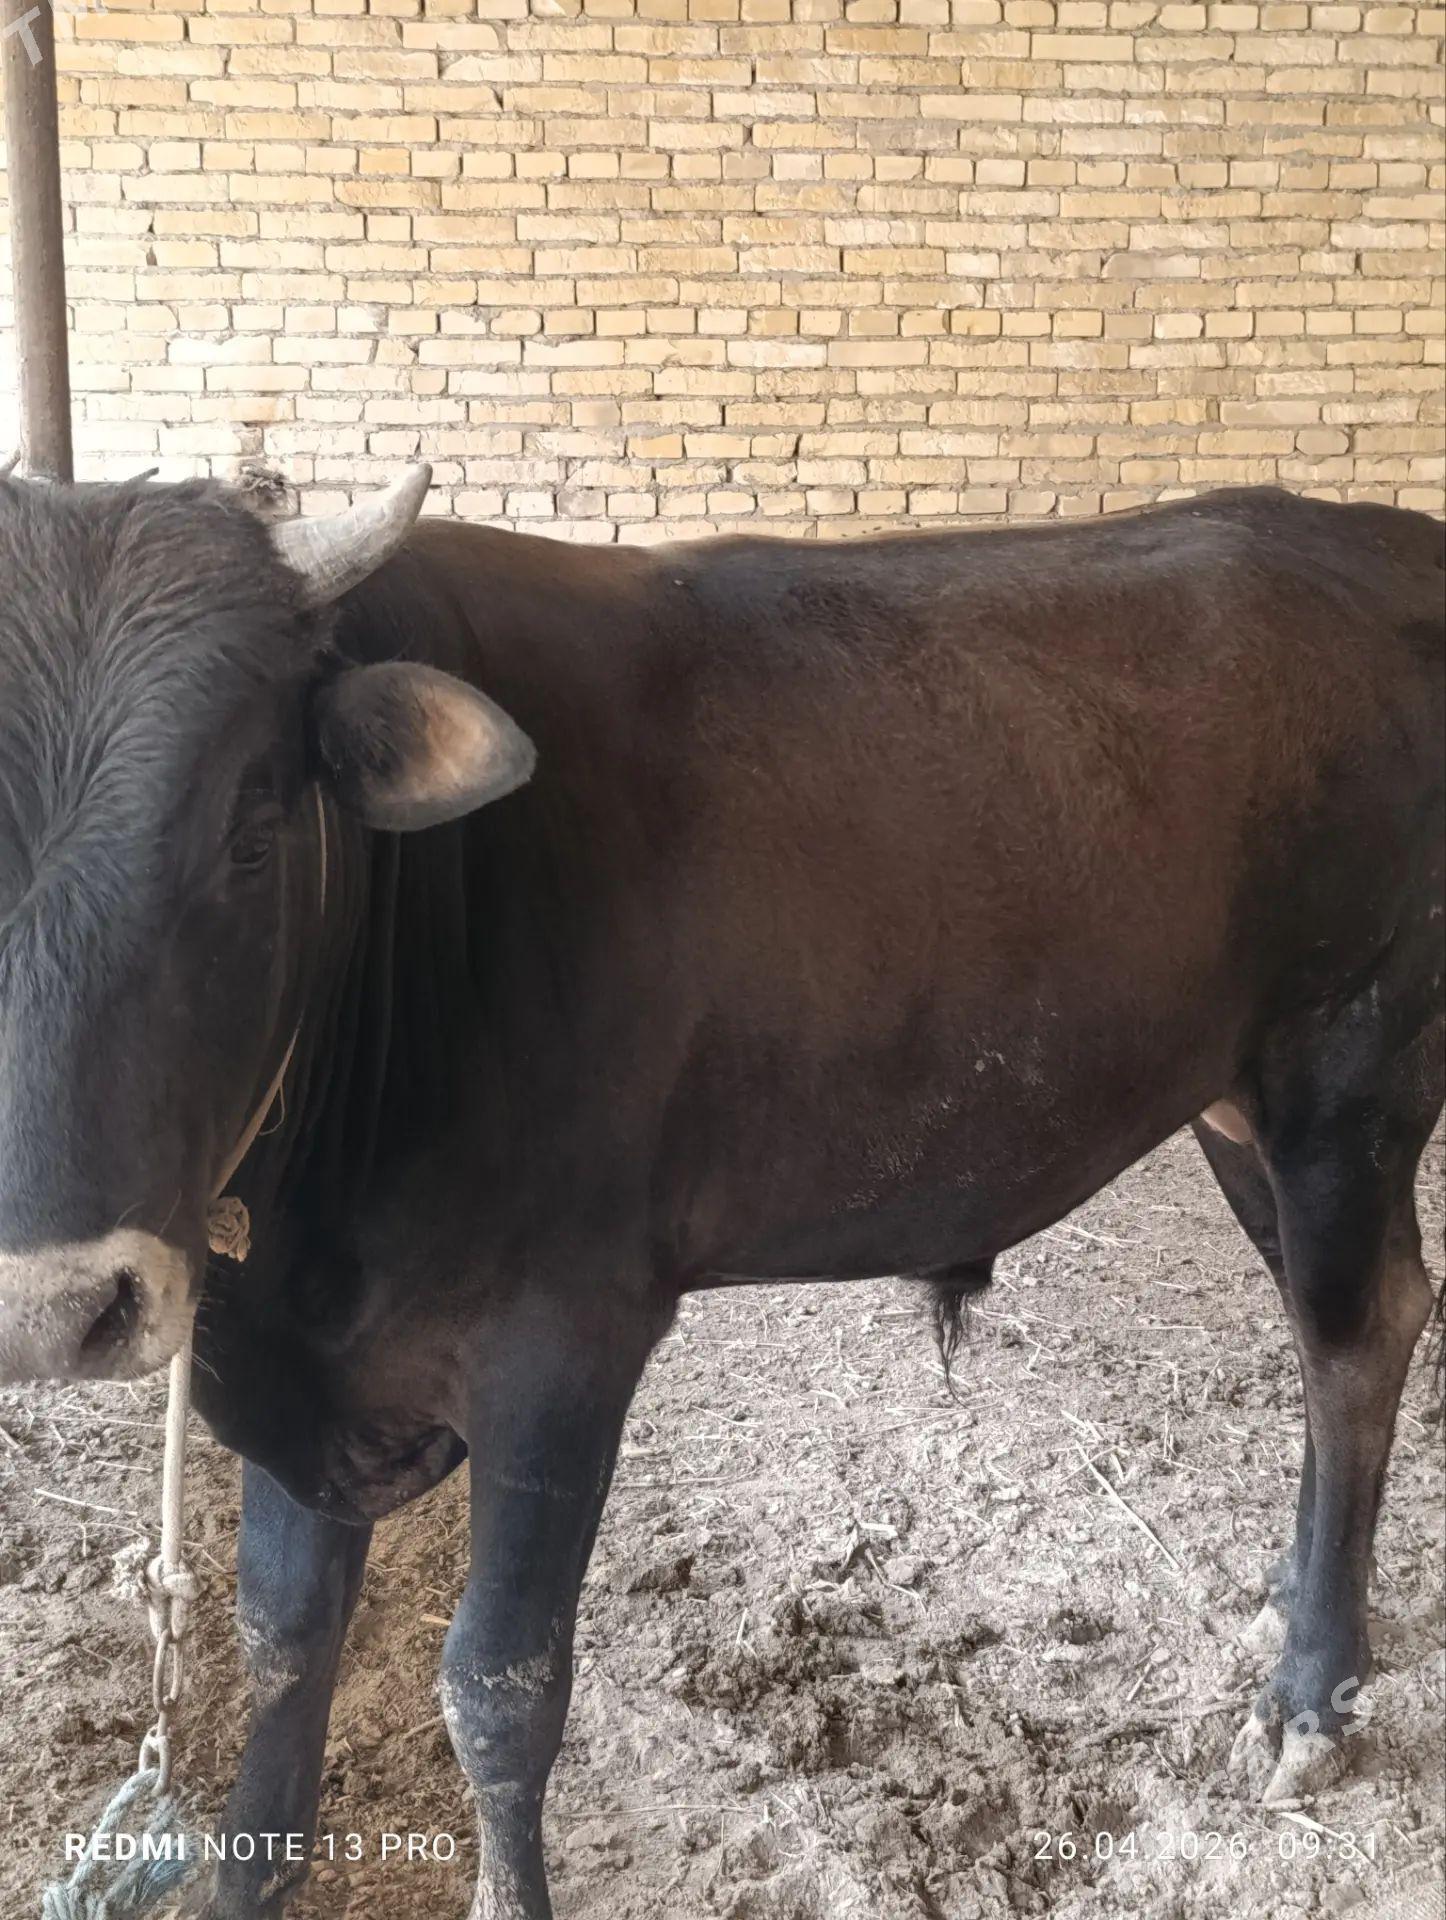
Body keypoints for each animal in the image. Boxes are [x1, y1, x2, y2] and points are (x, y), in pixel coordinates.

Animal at [0, 466, 1439, 1920]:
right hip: (1235, 1103)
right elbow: (283, 1639)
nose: (56, 1309)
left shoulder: (563, 1338)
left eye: (253, 826)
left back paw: (1311, 1694)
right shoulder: (300, 1364)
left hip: (1350, 1071)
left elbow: (499, 1685)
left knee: (1354, 1342)